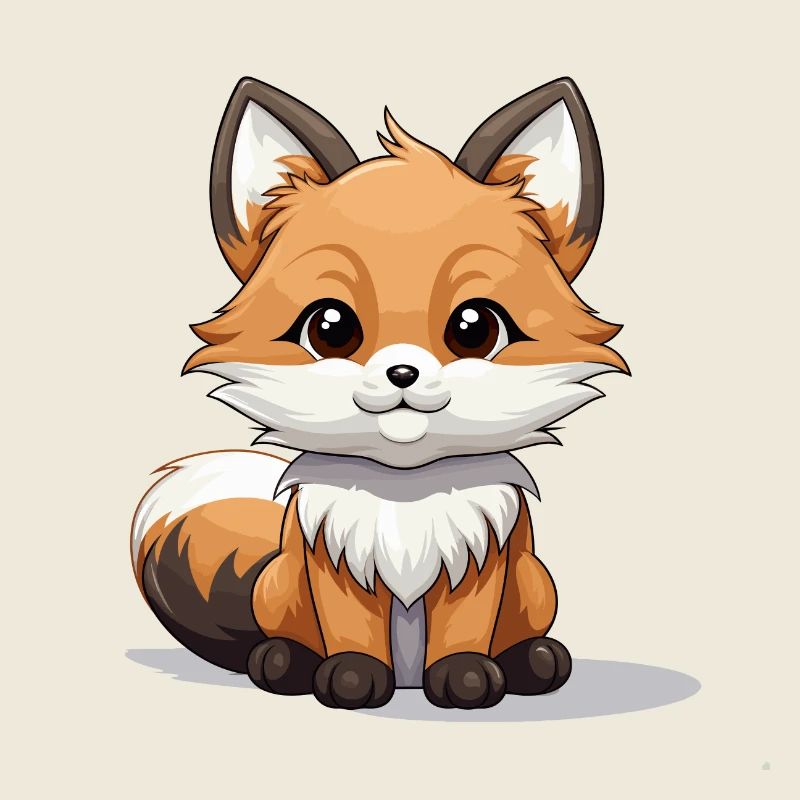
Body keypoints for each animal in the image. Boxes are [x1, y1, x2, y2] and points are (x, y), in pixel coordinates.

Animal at [131, 76, 627, 710]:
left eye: (476, 328)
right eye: (330, 328)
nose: (402, 373)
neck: (403, 492)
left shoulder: (481, 561)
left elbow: (465, 630)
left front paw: (466, 676)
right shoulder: (333, 561)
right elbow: (351, 630)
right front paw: (349, 677)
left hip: (537, 581)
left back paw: (532, 660)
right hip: (277, 582)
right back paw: (282, 661)